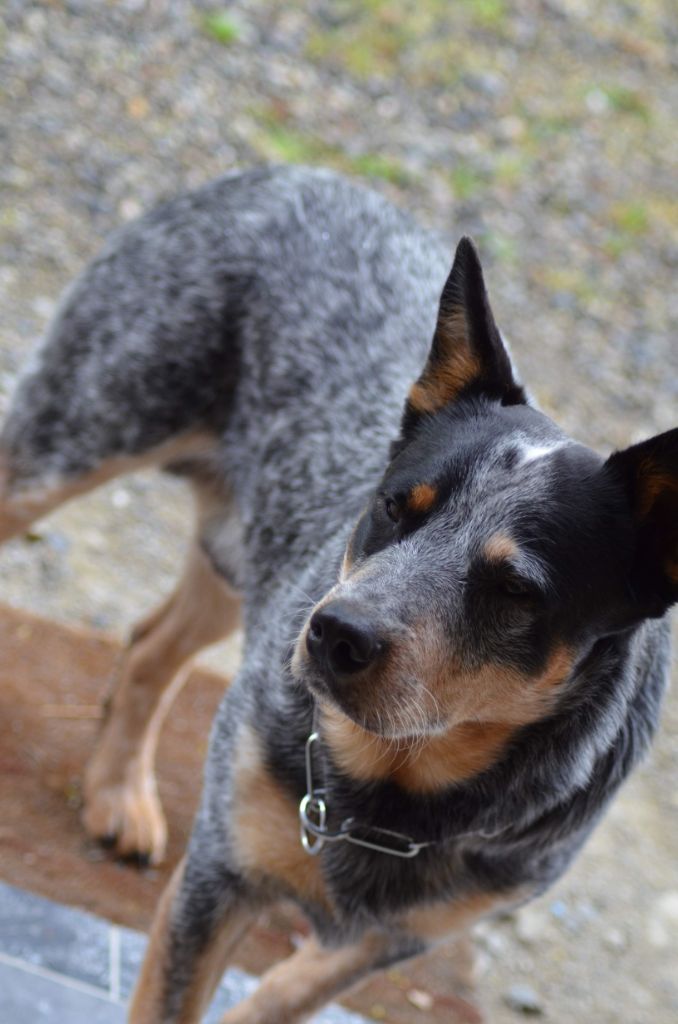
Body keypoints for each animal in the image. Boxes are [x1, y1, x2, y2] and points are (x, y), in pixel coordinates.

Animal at [2, 163, 675, 1019]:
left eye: (516, 587)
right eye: (394, 505)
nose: (338, 633)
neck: (394, 790)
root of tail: (292, 171)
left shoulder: (383, 945)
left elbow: (274, 1001)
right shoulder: (219, 873)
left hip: (249, 560)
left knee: (152, 643)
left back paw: (118, 792)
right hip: (74, 443)